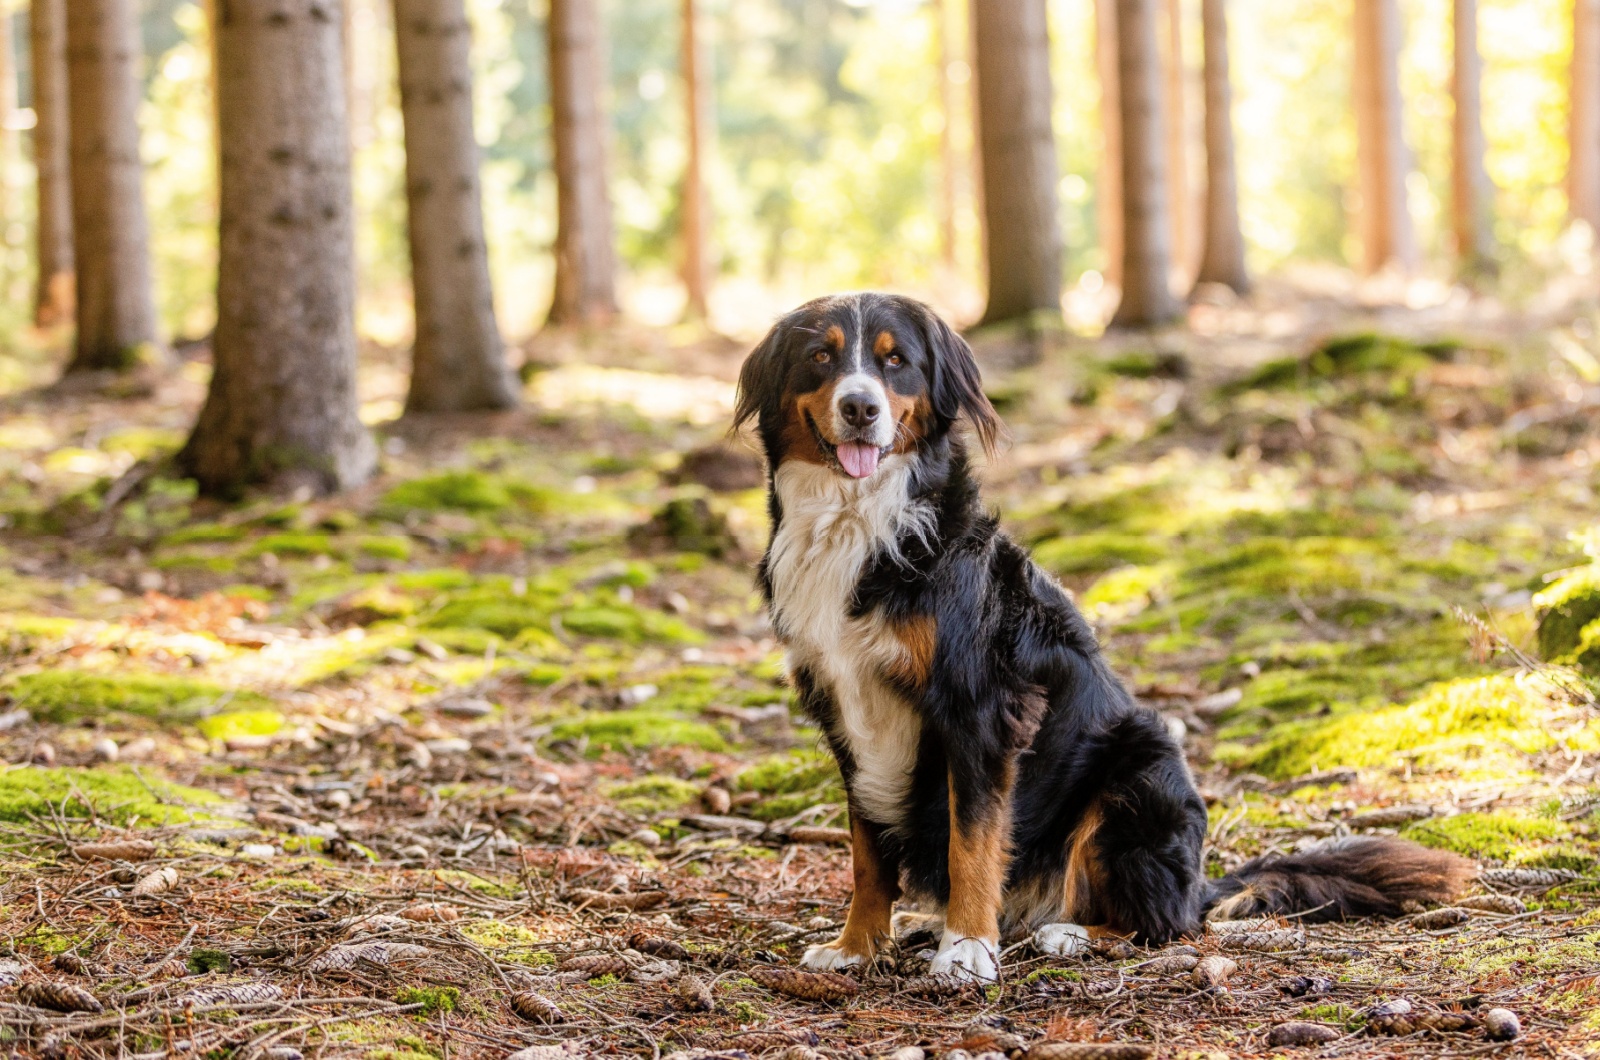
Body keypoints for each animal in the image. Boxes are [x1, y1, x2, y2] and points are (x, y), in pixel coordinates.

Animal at [732, 293, 1465, 986]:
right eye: (822, 358)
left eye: (894, 361)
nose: (860, 407)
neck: (859, 524)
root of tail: (1203, 881)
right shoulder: (846, 712)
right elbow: (866, 853)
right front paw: (856, 947)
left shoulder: (979, 707)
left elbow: (973, 842)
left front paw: (966, 950)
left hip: (1138, 773)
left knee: (1162, 921)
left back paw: (1066, 934)